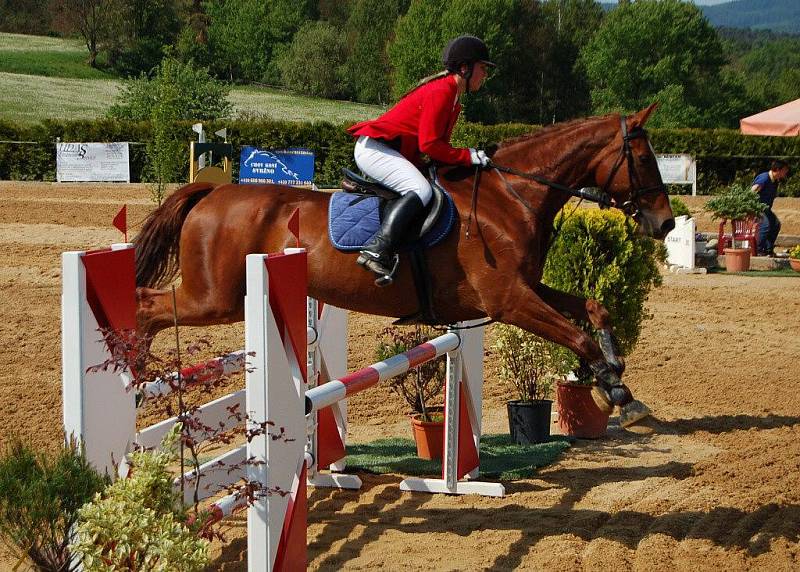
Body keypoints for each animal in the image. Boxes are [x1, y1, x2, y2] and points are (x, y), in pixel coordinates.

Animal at [134, 104, 672, 424]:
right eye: (645, 159)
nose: (665, 223)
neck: (511, 196)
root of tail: (211, 192)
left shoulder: (526, 289)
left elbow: (594, 308)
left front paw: (613, 368)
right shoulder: (509, 301)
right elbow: (577, 334)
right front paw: (615, 390)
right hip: (216, 298)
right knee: (146, 306)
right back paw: (135, 378)